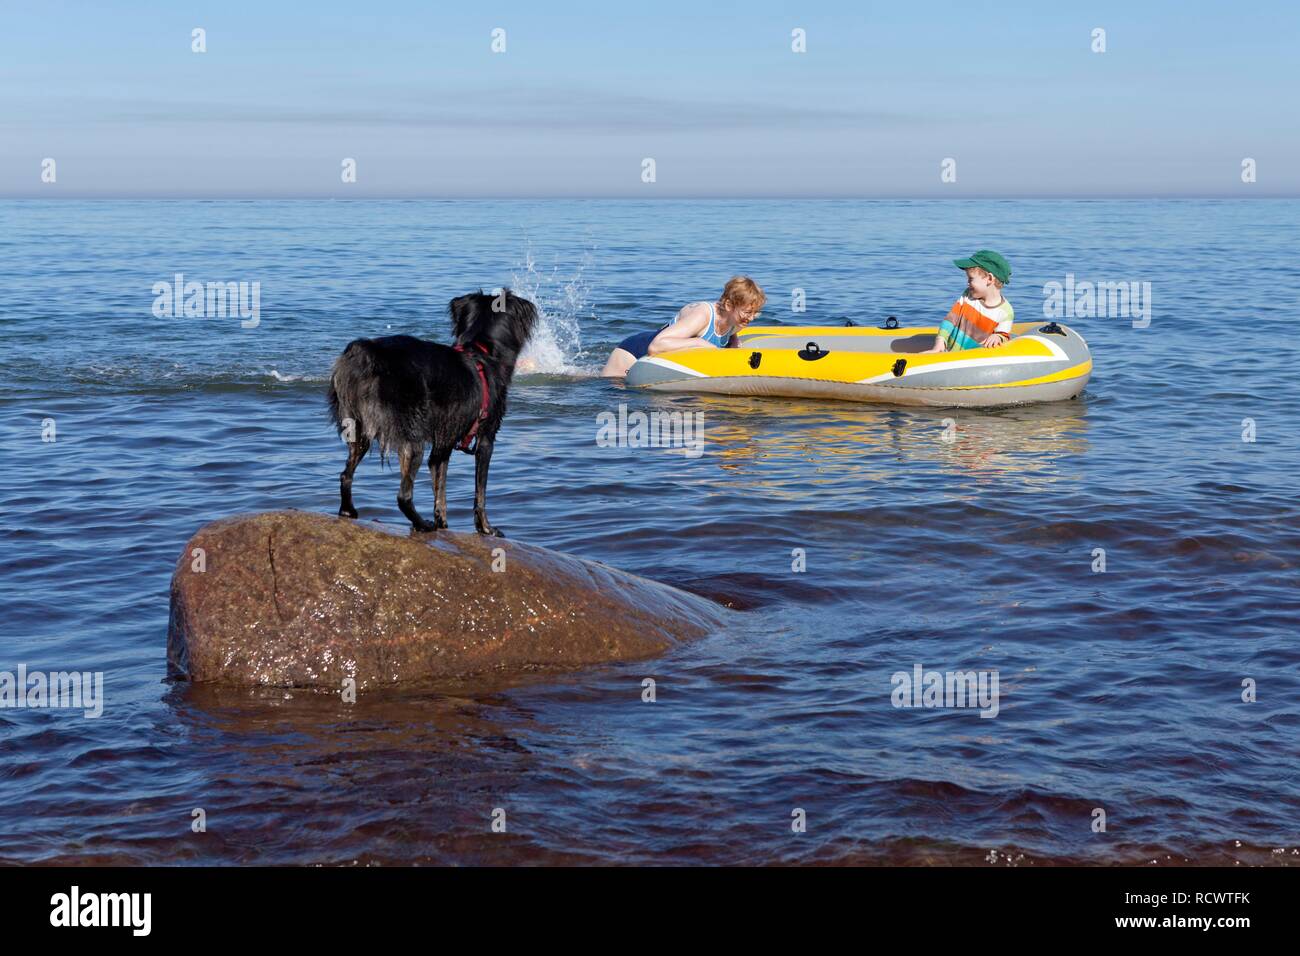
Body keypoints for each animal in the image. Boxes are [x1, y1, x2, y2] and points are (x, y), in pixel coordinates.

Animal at [332, 287, 540, 535]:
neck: (482, 353)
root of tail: (369, 355)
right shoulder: (486, 438)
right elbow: (480, 492)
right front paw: (485, 528)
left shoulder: (444, 441)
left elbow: (440, 490)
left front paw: (443, 523)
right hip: (411, 438)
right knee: (403, 495)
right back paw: (422, 525)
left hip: (358, 428)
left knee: (346, 474)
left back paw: (348, 511)